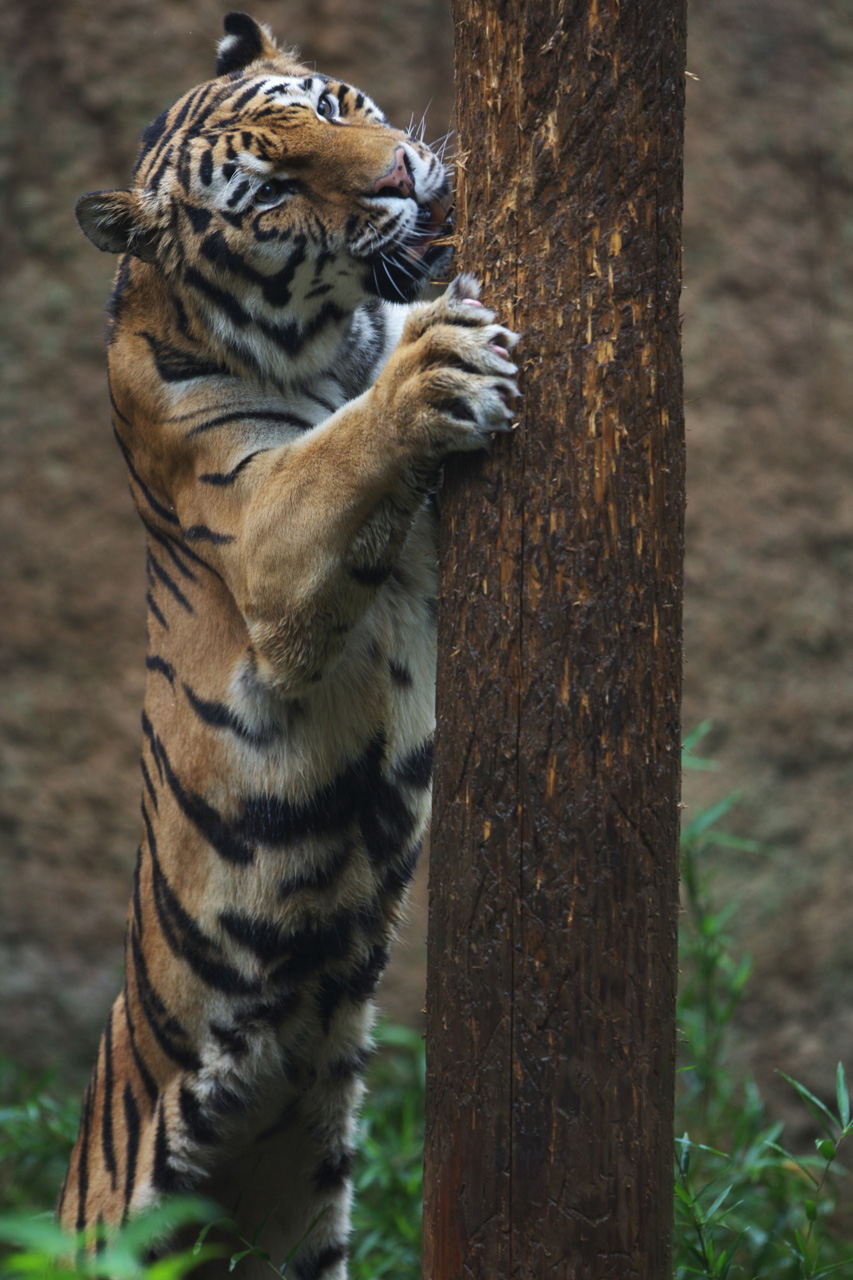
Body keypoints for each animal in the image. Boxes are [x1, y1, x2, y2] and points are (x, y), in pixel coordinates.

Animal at [58, 12, 517, 1280]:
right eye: (272, 193)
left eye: (332, 103)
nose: (403, 173)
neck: (333, 338)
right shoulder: (267, 539)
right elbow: (341, 450)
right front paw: (438, 366)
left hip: (299, 1206)